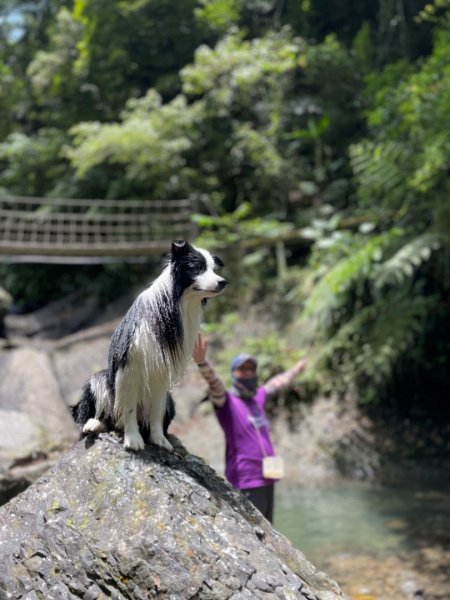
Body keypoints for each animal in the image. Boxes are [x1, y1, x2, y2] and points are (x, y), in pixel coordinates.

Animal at [75, 239, 229, 450]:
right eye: (197, 267)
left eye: (214, 269)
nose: (223, 282)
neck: (174, 302)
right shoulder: (129, 367)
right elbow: (129, 407)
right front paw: (133, 440)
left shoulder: (161, 371)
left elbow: (157, 410)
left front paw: (159, 439)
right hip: (101, 379)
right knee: (95, 415)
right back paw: (93, 424)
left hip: (170, 400)